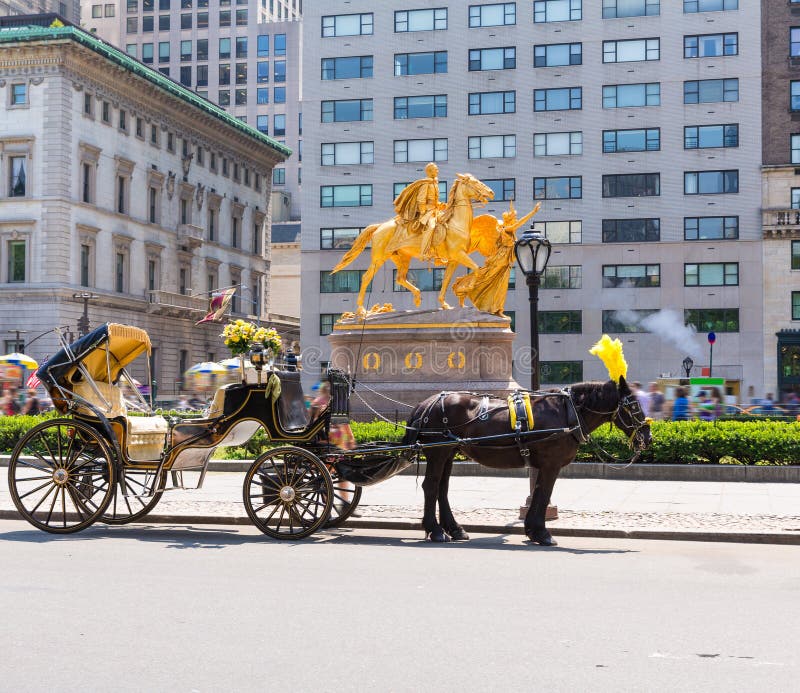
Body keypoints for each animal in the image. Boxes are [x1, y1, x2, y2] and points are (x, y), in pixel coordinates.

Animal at [404, 376, 652, 544]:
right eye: (633, 406)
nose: (648, 437)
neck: (568, 412)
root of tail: (426, 403)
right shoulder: (551, 464)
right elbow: (543, 494)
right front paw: (542, 533)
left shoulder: (545, 465)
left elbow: (540, 493)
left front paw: (533, 529)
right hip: (438, 452)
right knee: (431, 486)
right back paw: (435, 530)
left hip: (448, 452)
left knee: (441, 488)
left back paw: (454, 529)